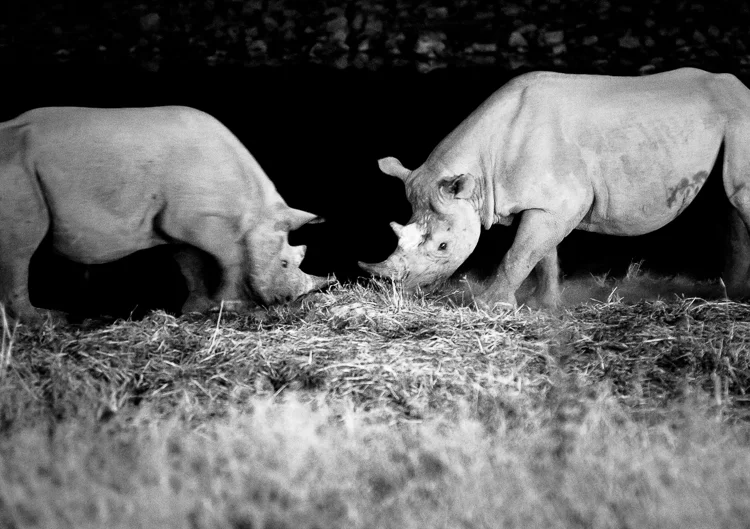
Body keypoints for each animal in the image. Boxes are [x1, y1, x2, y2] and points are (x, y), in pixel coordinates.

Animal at [0, 106, 330, 324]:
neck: (255, 214)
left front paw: (199, 309)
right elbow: (230, 259)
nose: (287, 300)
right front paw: (233, 306)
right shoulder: (201, 220)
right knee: (21, 249)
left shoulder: (183, 223)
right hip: (15, 169)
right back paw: (43, 321)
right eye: (285, 263)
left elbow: (190, 262)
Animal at [360, 68, 750, 309]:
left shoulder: (561, 201)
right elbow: (541, 254)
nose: (401, 290)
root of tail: (742, 88)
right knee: (727, 205)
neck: (479, 174)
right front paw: (542, 305)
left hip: (740, 116)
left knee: (740, 198)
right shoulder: (545, 203)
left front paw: (487, 306)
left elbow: (519, 253)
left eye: (443, 245)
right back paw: (728, 296)